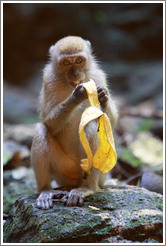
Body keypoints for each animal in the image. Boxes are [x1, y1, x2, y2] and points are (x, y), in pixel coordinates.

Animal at [30, 36, 118, 209]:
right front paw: (76, 96)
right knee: (41, 130)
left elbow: (109, 123)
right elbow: (49, 123)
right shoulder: (49, 80)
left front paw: (103, 97)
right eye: (66, 63)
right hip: (63, 171)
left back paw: (87, 188)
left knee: (91, 126)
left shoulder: (98, 76)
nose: (75, 73)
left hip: (99, 174)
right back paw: (45, 190)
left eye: (78, 60)